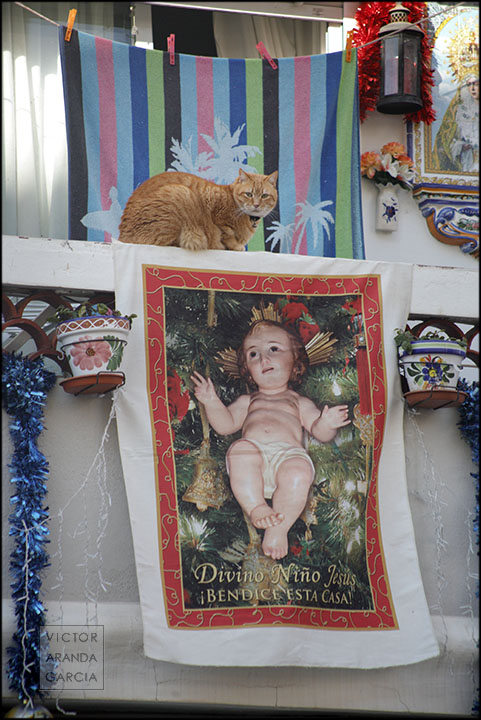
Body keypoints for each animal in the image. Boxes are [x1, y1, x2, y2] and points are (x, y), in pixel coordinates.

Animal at [116, 168, 278, 252]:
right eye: (249, 194)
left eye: (264, 196)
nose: (256, 205)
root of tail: (122, 236)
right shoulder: (218, 216)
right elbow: (227, 235)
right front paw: (236, 246)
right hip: (181, 193)